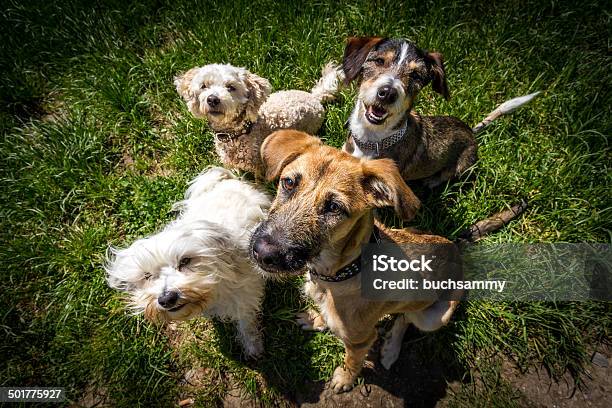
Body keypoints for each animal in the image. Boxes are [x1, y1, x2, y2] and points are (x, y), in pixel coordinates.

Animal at [106, 167, 272, 356]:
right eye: (147, 275)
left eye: (185, 261)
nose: (166, 299)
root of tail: (224, 180)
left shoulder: (245, 297)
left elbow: (247, 323)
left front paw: (252, 345)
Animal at [175, 63, 344, 178]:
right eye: (204, 86)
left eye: (231, 87)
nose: (212, 99)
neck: (239, 132)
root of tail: (315, 97)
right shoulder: (232, 165)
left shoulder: (259, 169)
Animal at [344, 36, 540, 188]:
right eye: (379, 61)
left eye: (416, 75)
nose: (388, 93)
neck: (371, 138)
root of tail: (471, 132)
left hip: (462, 165)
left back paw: (431, 181)